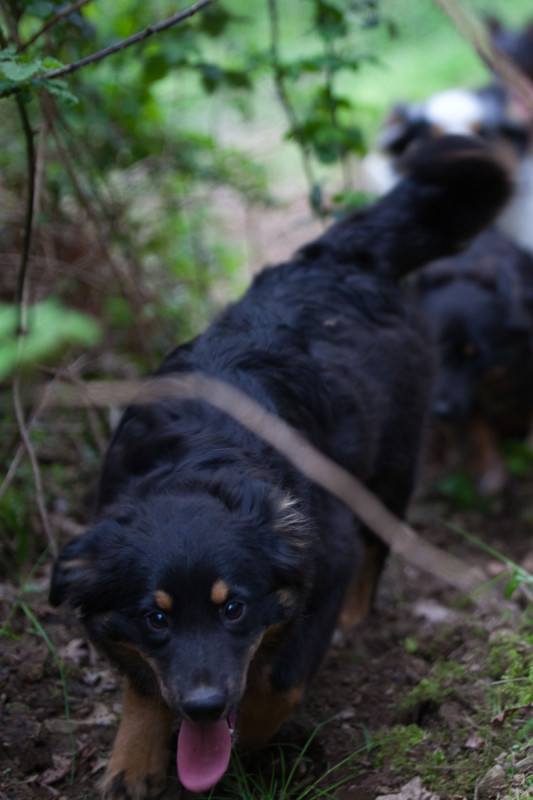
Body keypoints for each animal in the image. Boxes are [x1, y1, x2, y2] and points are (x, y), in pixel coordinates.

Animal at [49, 137, 509, 800]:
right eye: (156, 617)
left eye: (234, 609)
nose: (204, 706)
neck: (195, 467)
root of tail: (339, 256)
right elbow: (143, 681)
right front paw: (135, 757)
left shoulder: (325, 551)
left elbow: (280, 681)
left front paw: (246, 746)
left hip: (390, 467)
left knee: (378, 548)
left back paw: (355, 620)